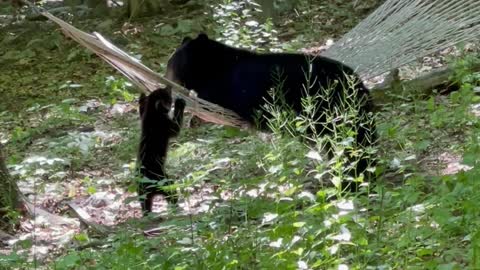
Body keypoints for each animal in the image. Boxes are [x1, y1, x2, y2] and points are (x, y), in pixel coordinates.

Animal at [167, 33, 376, 192]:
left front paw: (193, 117)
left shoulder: (225, 86)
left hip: (326, 106)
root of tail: (358, 83)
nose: (167, 78)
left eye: (170, 63)